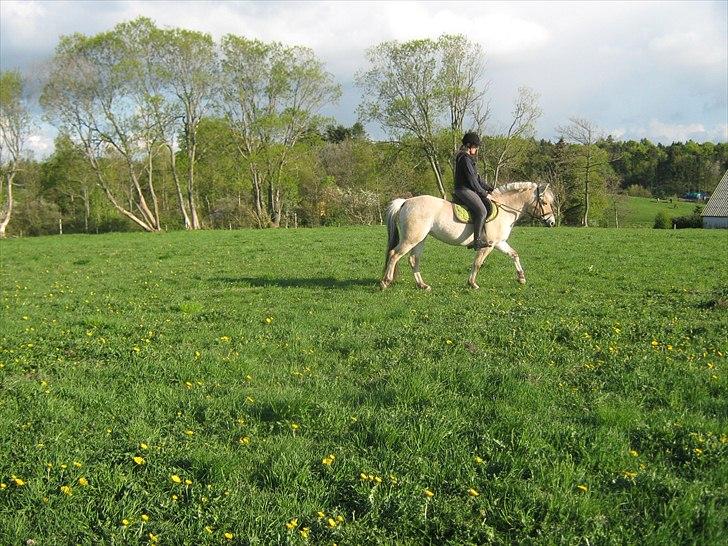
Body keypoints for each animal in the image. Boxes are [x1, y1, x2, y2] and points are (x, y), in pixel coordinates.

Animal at [378, 181, 556, 288]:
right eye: (544, 203)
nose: (552, 222)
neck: (505, 209)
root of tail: (406, 202)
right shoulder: (488, 245)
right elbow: (477, 263)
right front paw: (472, 283)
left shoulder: (499, 242)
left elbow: (514, 255)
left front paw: (521, 277)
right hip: (411, 239)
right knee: (394, 254)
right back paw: (385, 282)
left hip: (420, 239)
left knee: (413, 259)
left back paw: (423, 285)